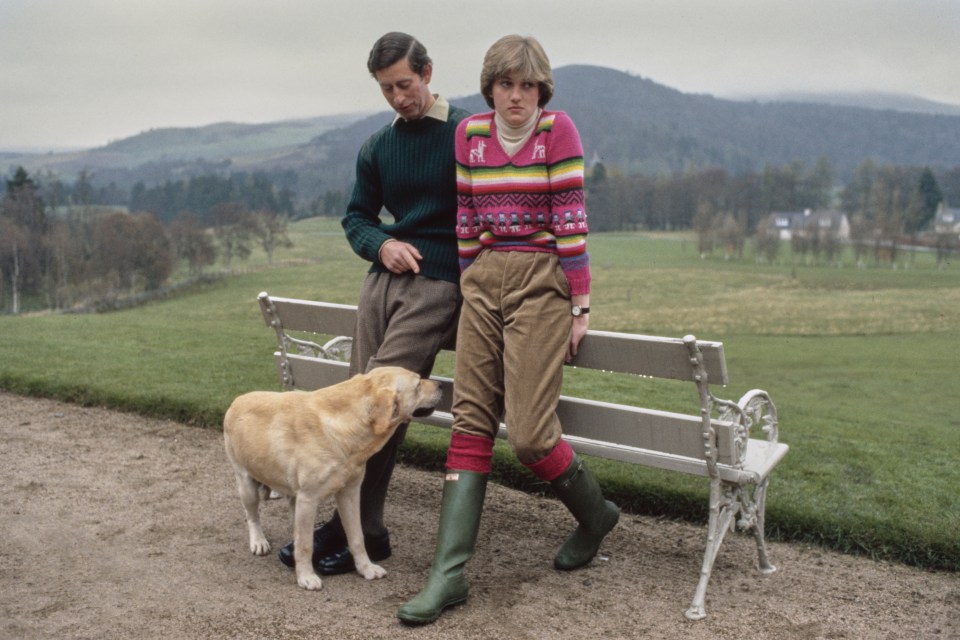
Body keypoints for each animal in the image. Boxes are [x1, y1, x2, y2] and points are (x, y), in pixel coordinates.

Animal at [222, 364, 442, 592]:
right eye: (418, 384)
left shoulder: (350, 493)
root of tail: (238, 399)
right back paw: (259, 541)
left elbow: (356, 537)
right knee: (252, 516)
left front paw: (366, 568)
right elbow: (305, 545)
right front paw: (306, 576)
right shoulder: (308, 498)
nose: (441, 385)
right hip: (247, 486)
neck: (345, 427)